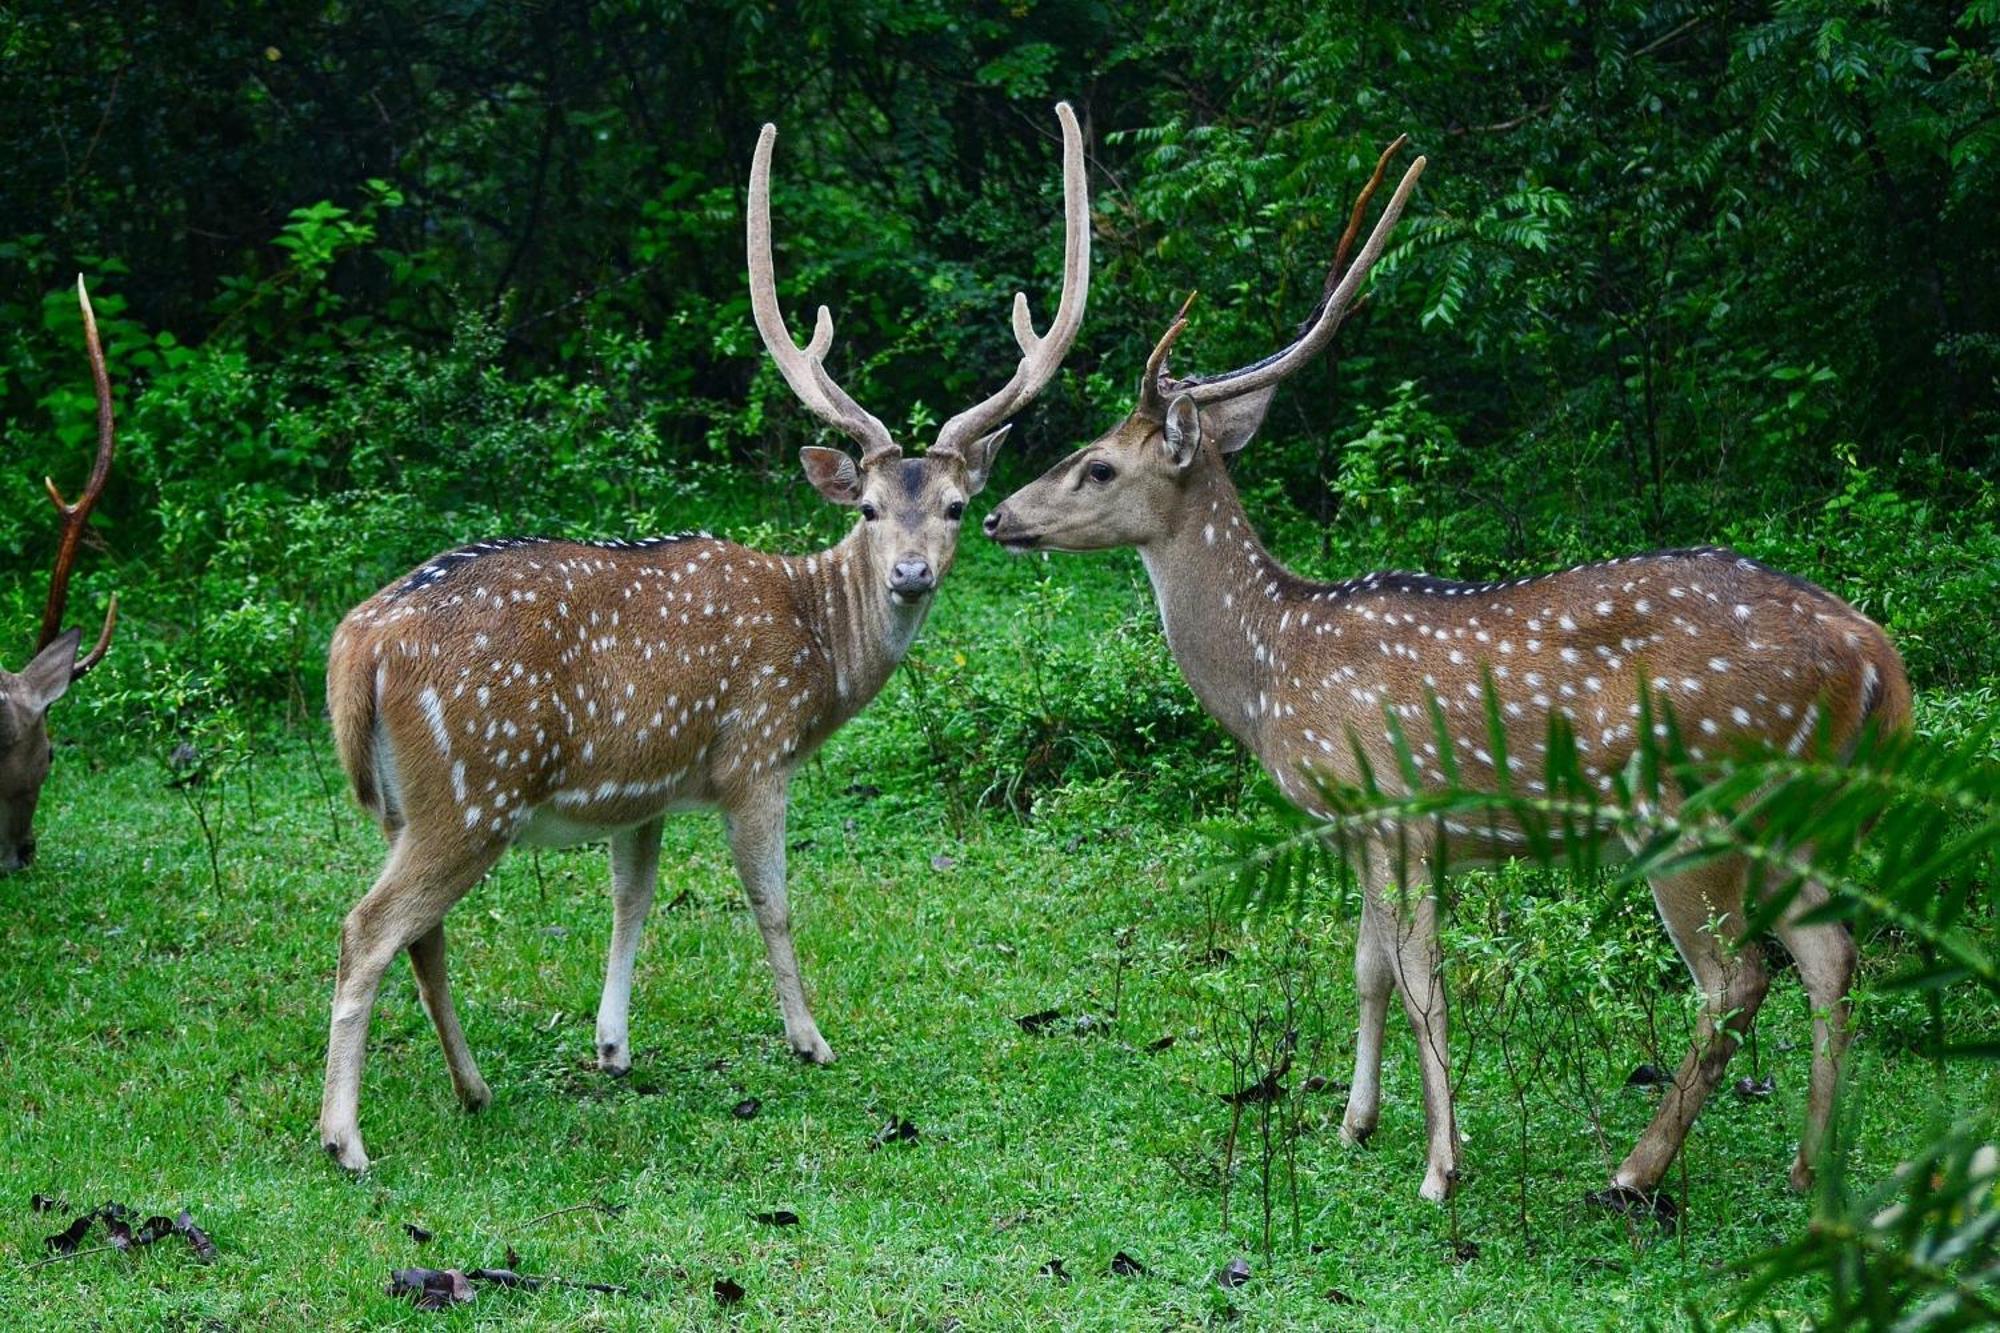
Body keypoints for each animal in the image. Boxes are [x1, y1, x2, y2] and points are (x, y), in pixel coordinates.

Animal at [316, 101, 1096, 1160]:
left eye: (957, 506)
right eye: (866, 510)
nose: (909, 574)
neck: (820, 646)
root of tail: (356, 646)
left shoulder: (641, 786)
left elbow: (632, 897)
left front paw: (612, 1046)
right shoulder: (753, 753)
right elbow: (771, 899)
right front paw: (809, 1039)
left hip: (406, 801)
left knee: (419, 934)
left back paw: (473, 1090)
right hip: (474, 785)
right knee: (369, 927)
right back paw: (345, 1138)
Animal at [992, 140, 1912, 1200]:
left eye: (1096, 465)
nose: (999, 515)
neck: (1274, 666)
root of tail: (1881, 662)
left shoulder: (1396, 805)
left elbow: (1422, 975)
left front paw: (1441, 1165)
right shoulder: (1359, 826)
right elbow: (1367, 966)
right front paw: (1353, 1122)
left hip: (1694, 809)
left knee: (1740, 978)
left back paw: (1636, 1170)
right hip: (1801, 821)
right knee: (1833, 955)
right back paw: (1811, 1165)